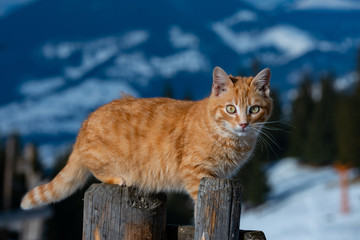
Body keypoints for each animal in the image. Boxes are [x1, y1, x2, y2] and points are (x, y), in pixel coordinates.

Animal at [20, 66, 272, 210]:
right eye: (230, 109)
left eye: (254, 109)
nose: (243, 124)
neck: (232, 141)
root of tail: (84, 125)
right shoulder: (196, 174)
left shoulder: (219, 176)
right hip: (103, 160)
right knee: (97, 172)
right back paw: (119, 178)